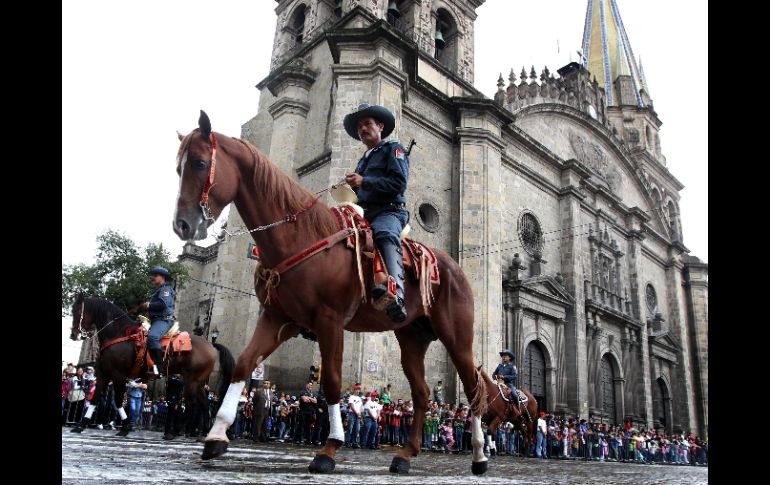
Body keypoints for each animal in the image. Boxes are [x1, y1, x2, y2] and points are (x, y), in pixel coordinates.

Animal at [70, 294, 232, 436]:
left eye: (77, 311)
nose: (73, 335)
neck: (118, 334)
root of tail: (211, 345)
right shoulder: (104, 374)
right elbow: (95, 398)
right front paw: (81, 425)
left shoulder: (118, 375)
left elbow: (118, 400)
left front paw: (126, 427)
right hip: (198, 381)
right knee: (203, 403)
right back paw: (203, 432)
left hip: (191, 379)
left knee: (191, 403)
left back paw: (175, 432)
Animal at [171, 111, 492, 474]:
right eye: (178, 167)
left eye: (199, 163)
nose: (183, 225)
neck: (300, 235)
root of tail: (455, 269)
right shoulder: (277, 318)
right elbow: (243, 364)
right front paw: (216, 436)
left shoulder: (330, 321)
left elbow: (333, 382)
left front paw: (329, 449)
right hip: (412, 337)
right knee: (423, 393)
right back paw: (405, 456)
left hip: (457, 337)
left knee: (474, 388)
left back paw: (479, 457)